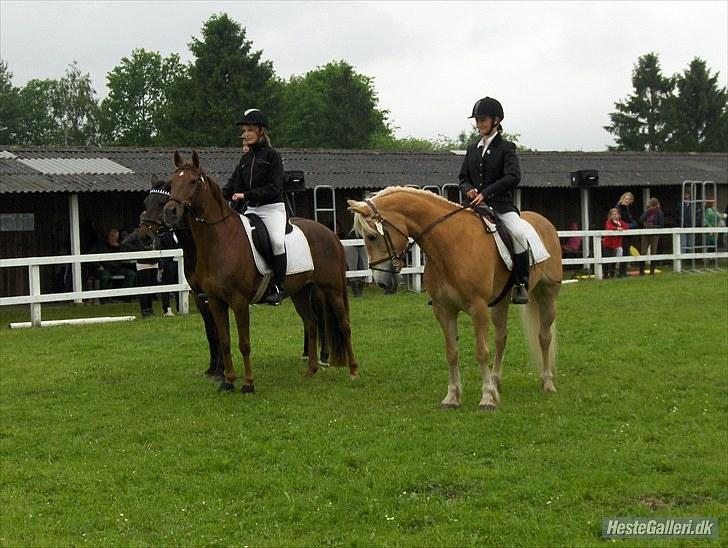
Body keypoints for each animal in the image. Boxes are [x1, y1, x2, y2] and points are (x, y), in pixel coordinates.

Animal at [164, 149, 360, 390]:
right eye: (172, 182)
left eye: (193, 181)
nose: (170, 212)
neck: (220, 241)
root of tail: (330, 233)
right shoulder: (216, 301)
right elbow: (225, 341)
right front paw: (228, 382)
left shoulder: (239, 301)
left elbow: (244, 343)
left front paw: (248, 384)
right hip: (300, 292)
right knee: (311, 324)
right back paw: (310, 372)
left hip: (331, 289)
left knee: (344, 324)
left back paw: (353, 371)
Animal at [346, 186, 564, 408]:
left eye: (372, 236)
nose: (381, 281)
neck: (451, 244)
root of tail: (544, 221)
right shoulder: (444, 309)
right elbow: (451, 352)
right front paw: (452, 397)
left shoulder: (478, 308)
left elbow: (481, 352)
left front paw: (486, 397)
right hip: (500, 302)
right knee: (501, 338)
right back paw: (496, 383)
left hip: (547, 295)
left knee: (544, 337)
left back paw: (547, 383)